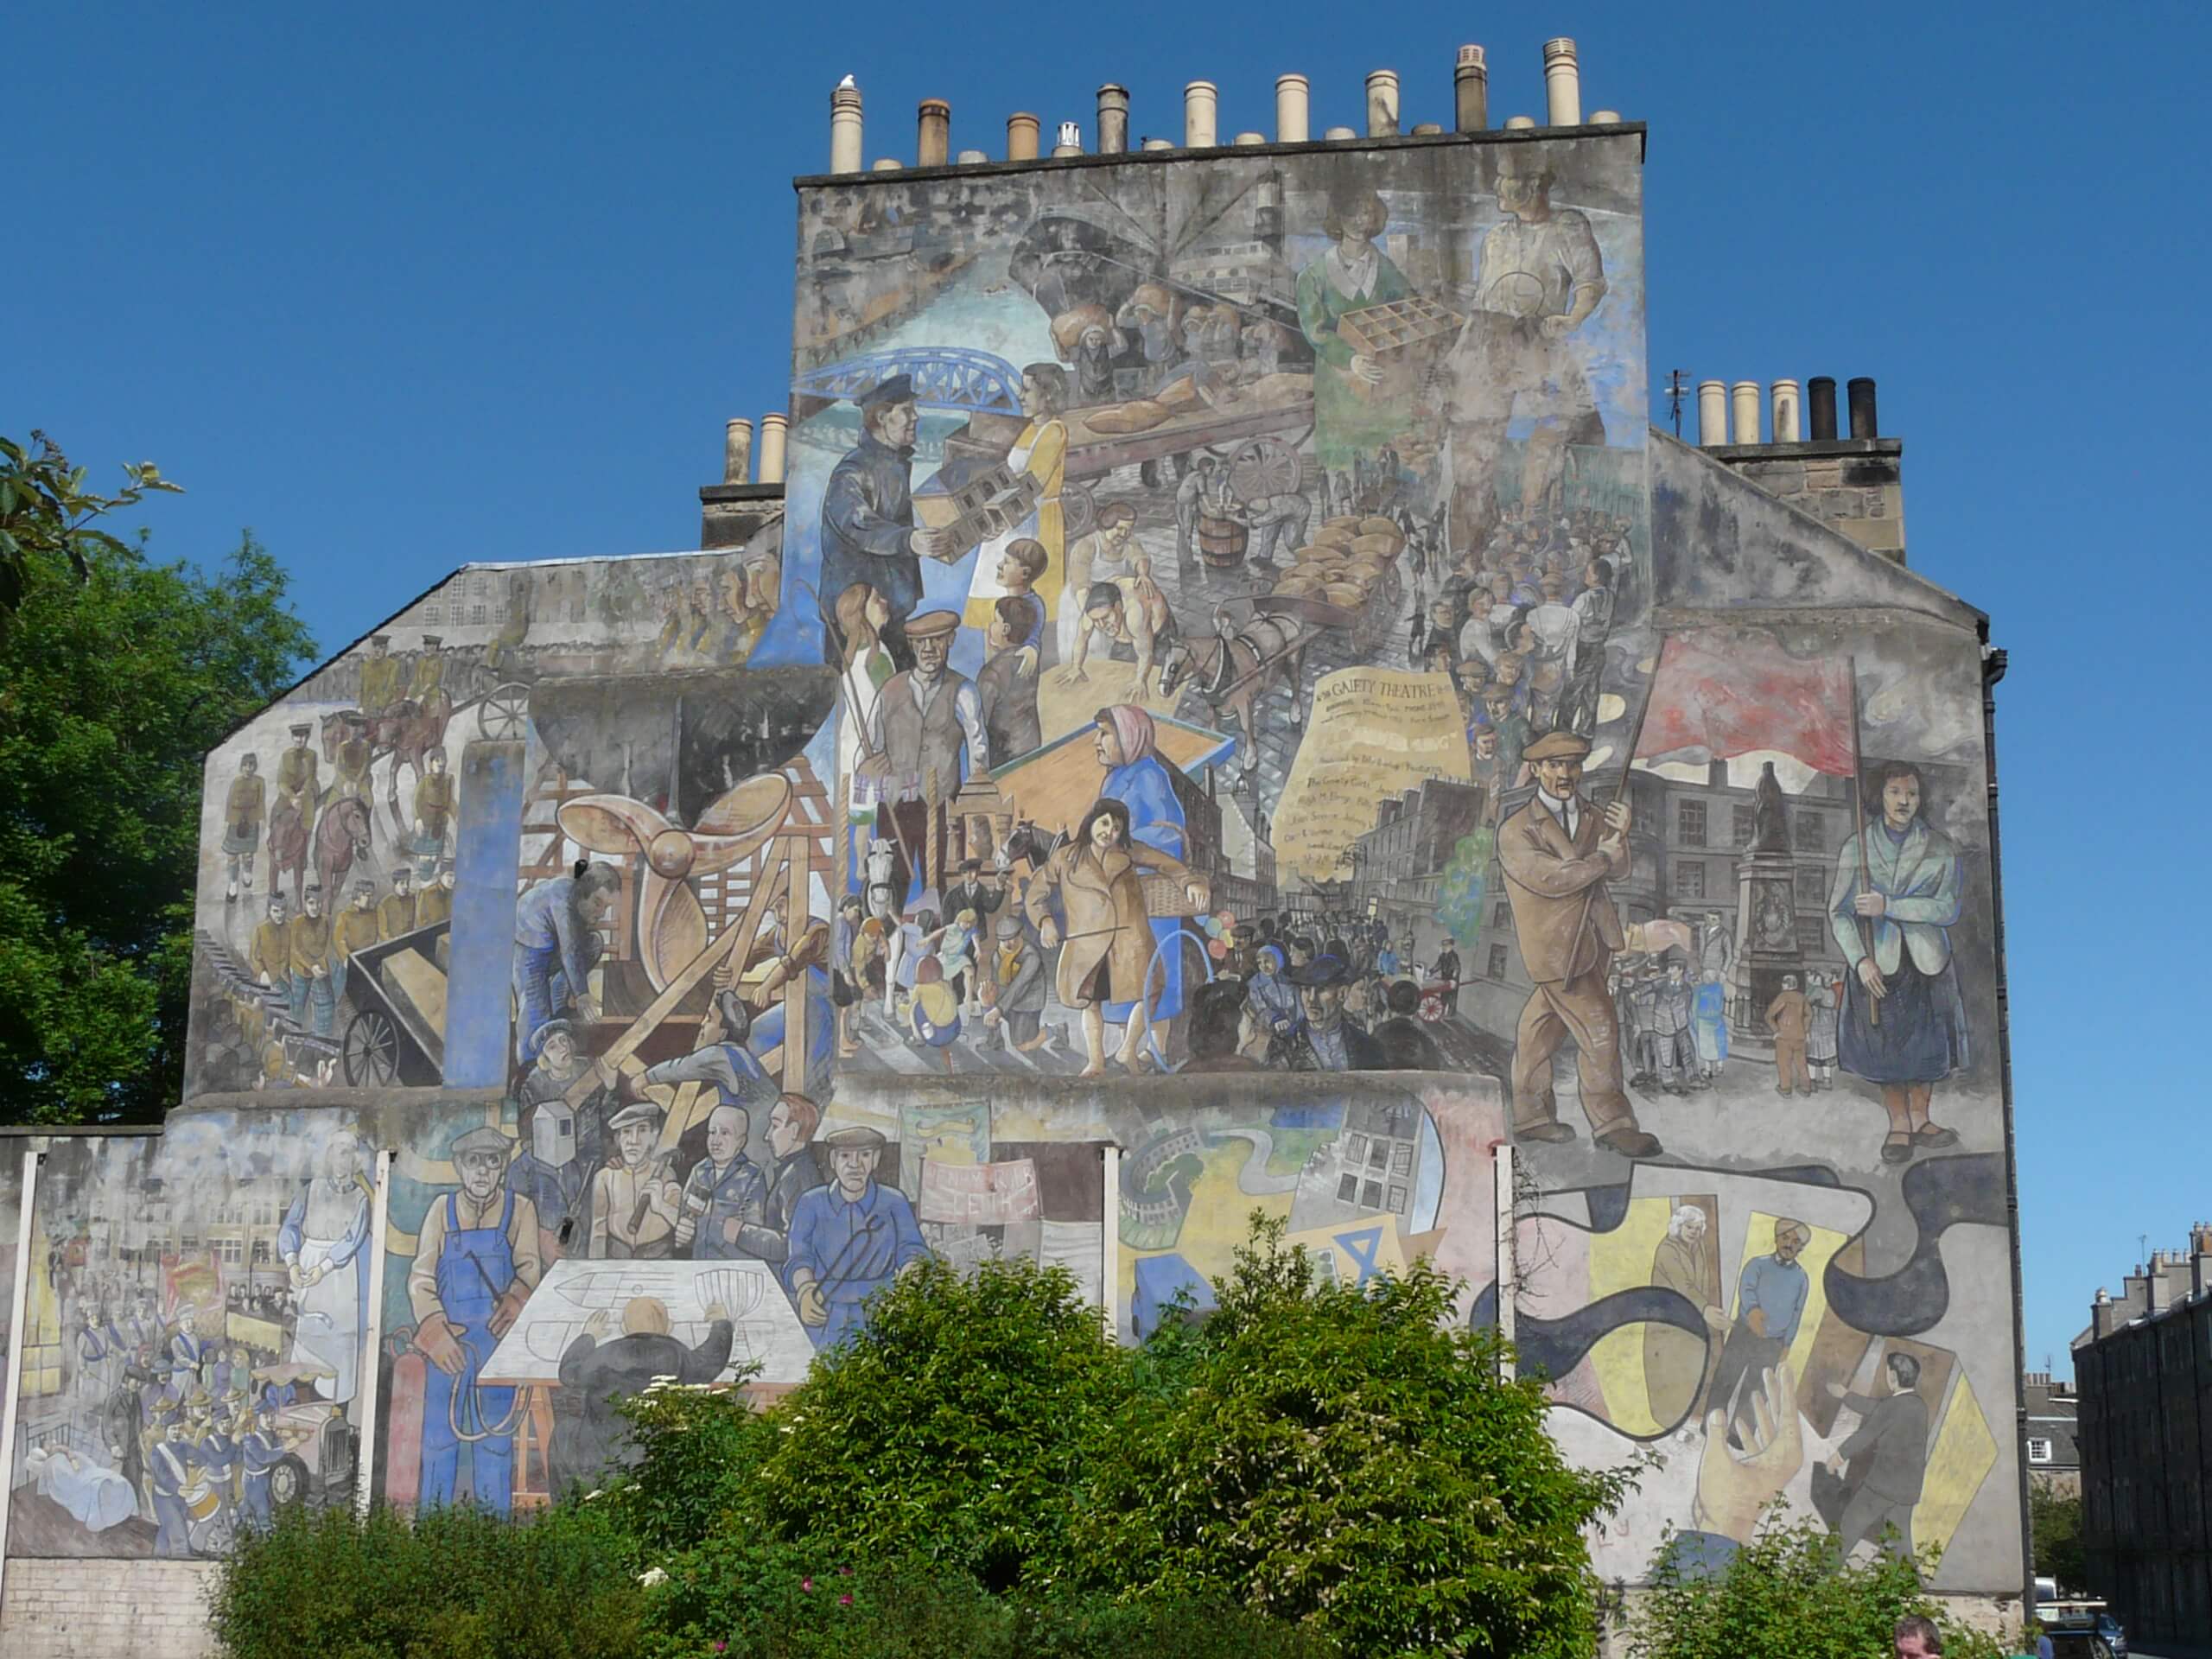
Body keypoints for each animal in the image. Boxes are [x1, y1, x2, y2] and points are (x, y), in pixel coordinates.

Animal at [1159, 614, 1309, 783]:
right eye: (1164, 662)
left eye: (1174, 667)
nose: (1162, 689)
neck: (1225, 665)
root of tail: (1291, 616)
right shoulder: (1212, 704)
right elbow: (1214, 726)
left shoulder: (1244, 702)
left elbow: (1246, 726)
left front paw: (1250, 758)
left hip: (1292, 664)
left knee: (1296, 685)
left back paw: (1295, 714)